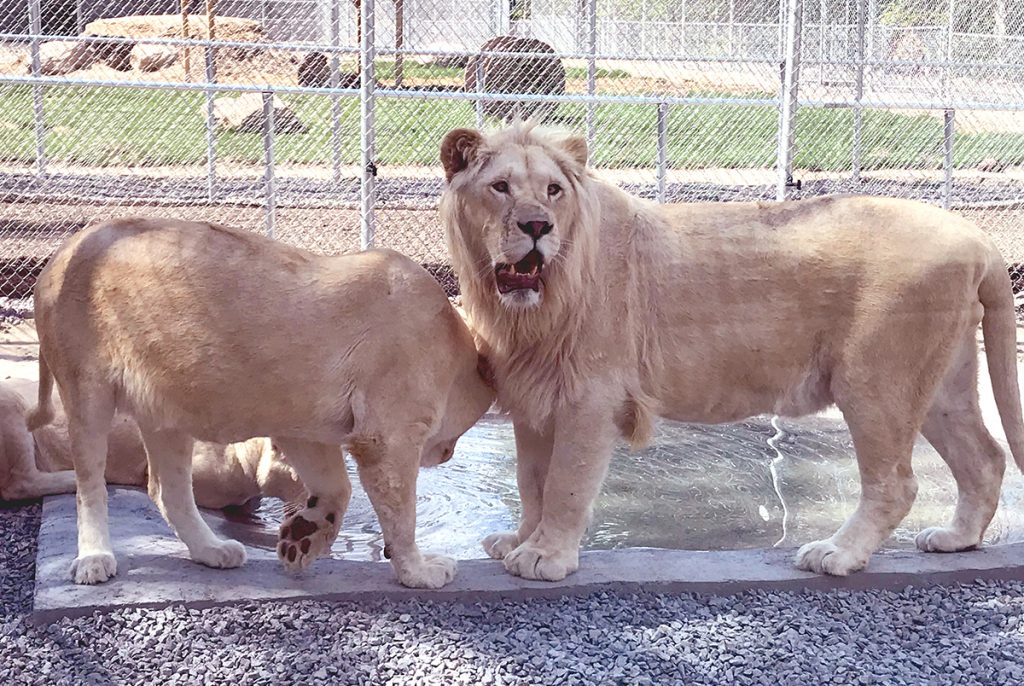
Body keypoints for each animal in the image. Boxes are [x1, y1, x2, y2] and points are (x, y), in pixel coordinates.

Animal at [32, 218, 495, 589]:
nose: (447, 455)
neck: (456, 345)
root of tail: (63, 251)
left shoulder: (306, 429)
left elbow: (338, 487)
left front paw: (301, 538)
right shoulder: (387, 438)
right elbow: (402, 516)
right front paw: (418, 571)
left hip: (166, 414)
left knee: (166, 490)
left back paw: (213, 550)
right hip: (87, 392)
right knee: (90, 485)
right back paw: (94, 559)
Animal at [438, 122, 1024, 581]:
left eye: (554, 190)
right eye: (500, 187)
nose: (537, 226)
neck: (529, 310)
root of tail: (978, 237)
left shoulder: (591, 396)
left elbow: (565, 482)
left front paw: (545, 557)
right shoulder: (534, 397)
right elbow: (530, 481)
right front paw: (519, 541)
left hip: (875, 382)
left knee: (897, 483)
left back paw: (836, 553)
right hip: (941, 382)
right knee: (985, 459)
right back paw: (956, 539)